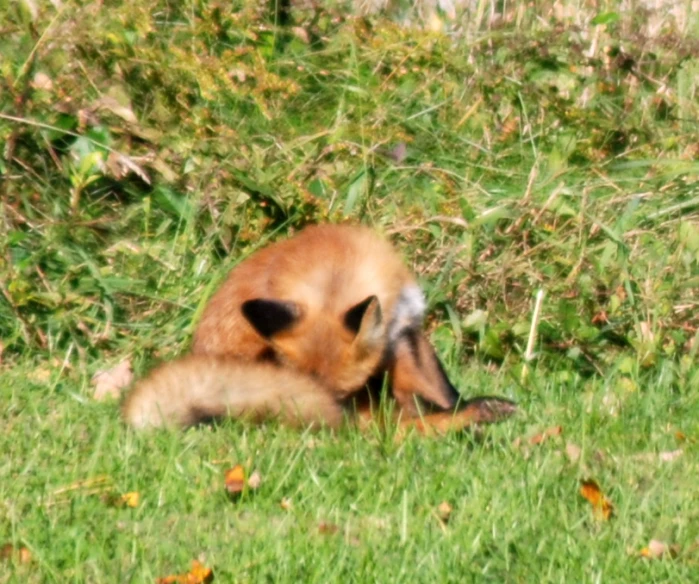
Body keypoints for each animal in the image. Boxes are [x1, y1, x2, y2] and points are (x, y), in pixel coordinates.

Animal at [121, 224, 516, 434]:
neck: (334, 276)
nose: (338, 418)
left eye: (342, 393)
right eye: (333, 397)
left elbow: (438, 385)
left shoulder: (403, 326)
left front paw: (461, 404)